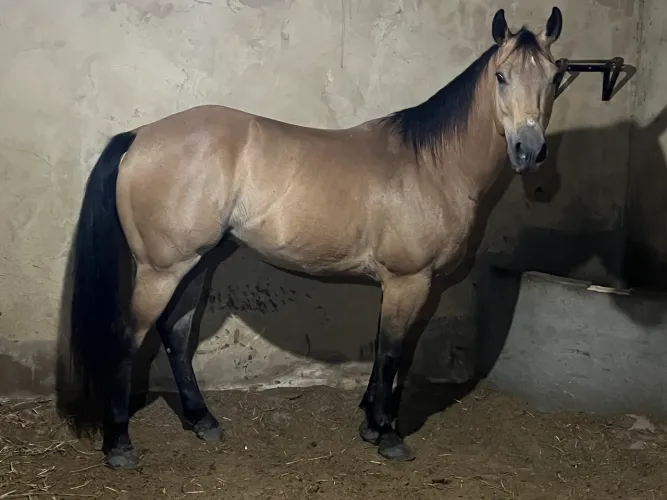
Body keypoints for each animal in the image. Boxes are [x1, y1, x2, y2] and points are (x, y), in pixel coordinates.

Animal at [62, 6, 564, 469]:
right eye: (501, 76)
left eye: (555, 77)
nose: (528, 150)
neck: (431, 165)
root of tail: (137, 136)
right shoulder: (410, 281)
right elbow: (392, 353)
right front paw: (387, 435)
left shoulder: (414, 286)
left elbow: (391, 351)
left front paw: (371, 423)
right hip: (162, 270)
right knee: (130, 337)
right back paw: (119, 445)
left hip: (197, 263)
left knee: (176, 331)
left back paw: (202, 421)